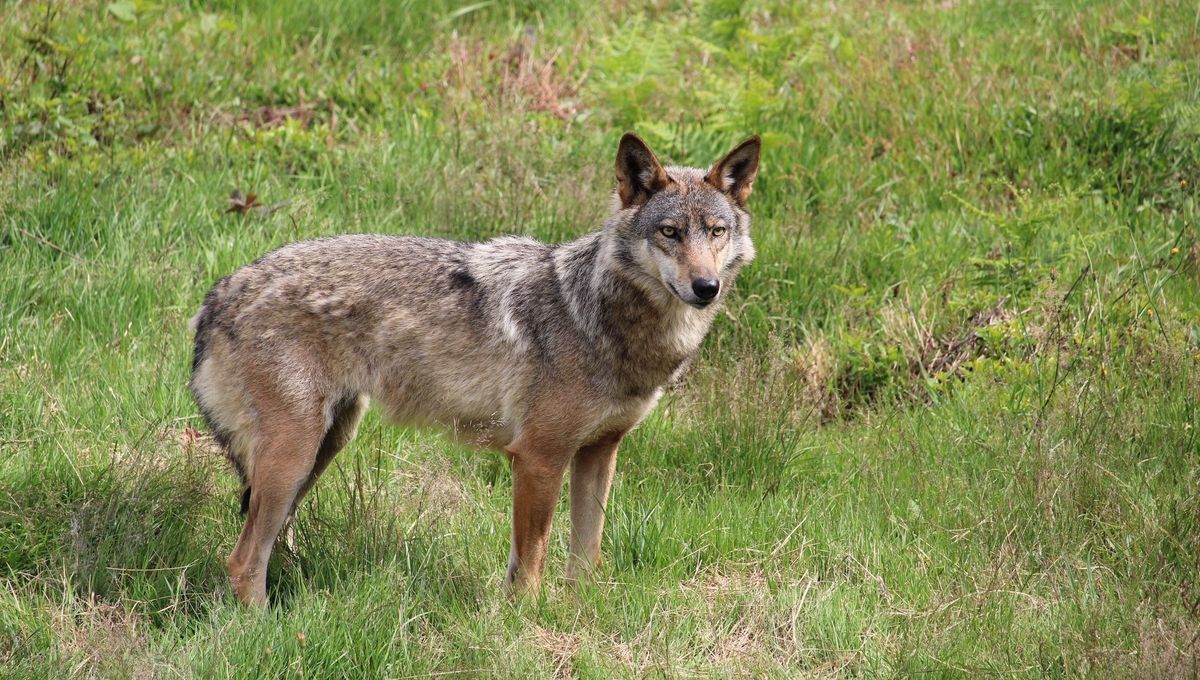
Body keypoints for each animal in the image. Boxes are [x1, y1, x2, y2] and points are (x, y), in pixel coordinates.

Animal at [189, 133, 760, 605]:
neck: (596, 316)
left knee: (266, 547)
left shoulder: (599, 453)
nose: (706, 287)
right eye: (669, 232)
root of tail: (219, 294)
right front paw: (527, 625)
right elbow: (531, 564)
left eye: (716, 232)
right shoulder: (538, 458)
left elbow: (585, 559)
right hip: (295, 456)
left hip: (325, 446)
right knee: (242, 561)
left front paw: (581, 618)